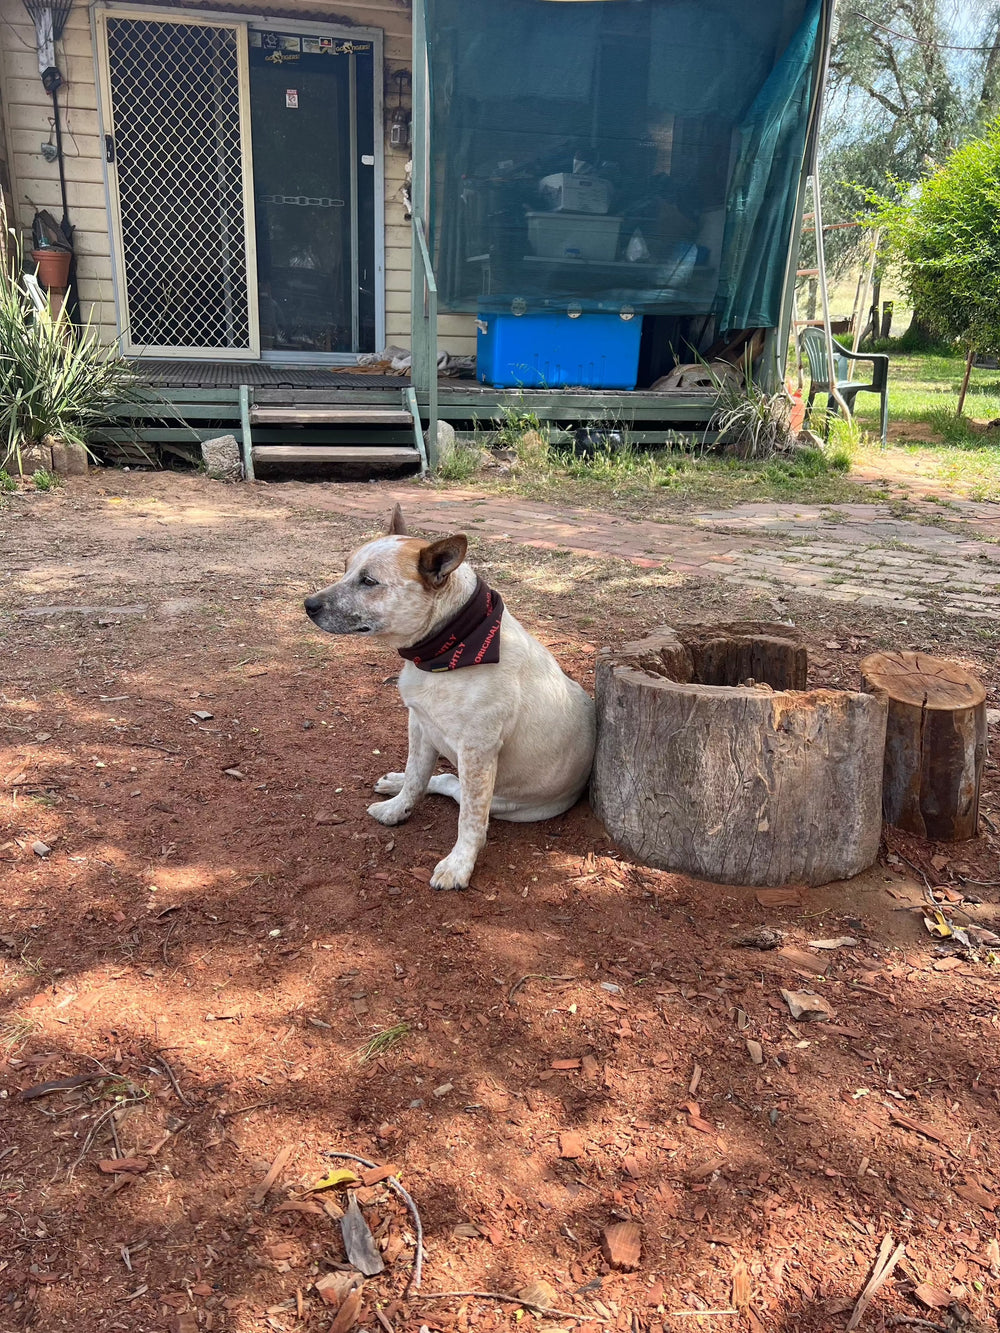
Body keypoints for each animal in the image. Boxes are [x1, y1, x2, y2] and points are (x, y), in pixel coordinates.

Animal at [301, 503, 592, 890]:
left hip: (502, 799)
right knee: (438, 779)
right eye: (345, 567)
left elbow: (469, 821)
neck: (447, 648)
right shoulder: (420, 725)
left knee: (456, 789)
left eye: (368, 582)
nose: (308, 604)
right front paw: (398, 808)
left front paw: (459, 864)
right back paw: (393, 783)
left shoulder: (478, 752)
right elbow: (415, 777)